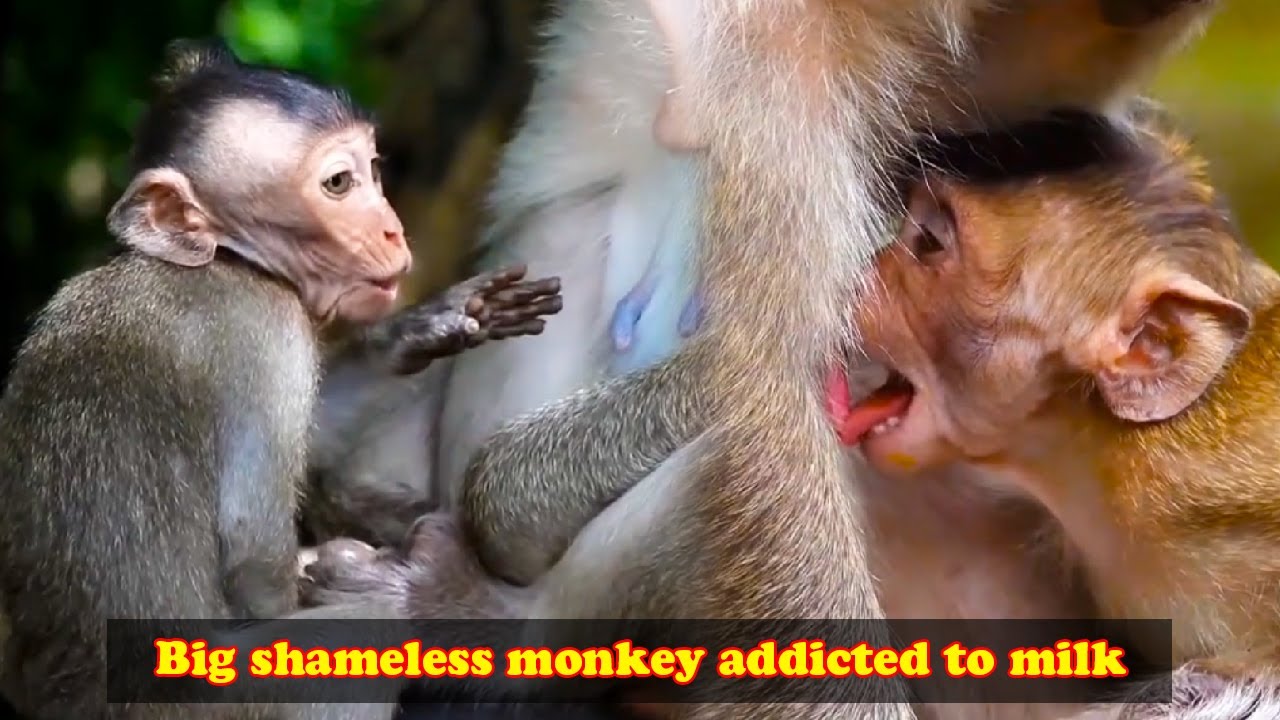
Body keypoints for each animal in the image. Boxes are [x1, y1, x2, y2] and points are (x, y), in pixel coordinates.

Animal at [0, 39, 561, 720]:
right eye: (339, 183)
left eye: (373, 171)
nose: (393, 228)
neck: (226, 259)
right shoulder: (267, 326)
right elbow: (256, 564)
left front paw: (417, 331)